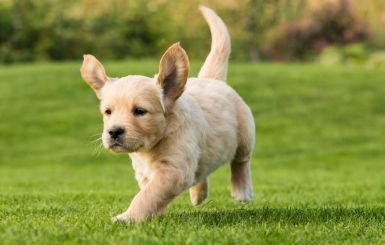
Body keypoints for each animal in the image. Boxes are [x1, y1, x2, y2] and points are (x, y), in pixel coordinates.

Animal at [80, 5, 255, 223]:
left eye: (139, 111)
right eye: (107, 112)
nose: (113, 132)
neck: (152, 145)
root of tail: (212, 79)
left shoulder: (174, 170)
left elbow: (147, 195)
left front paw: (128, 217)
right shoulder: (144, 172)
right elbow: (149, 192)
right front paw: (154, 214)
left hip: (245, 134)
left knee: (241, 161)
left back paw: (242, 191)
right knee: (203, 169)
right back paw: (198, 194)